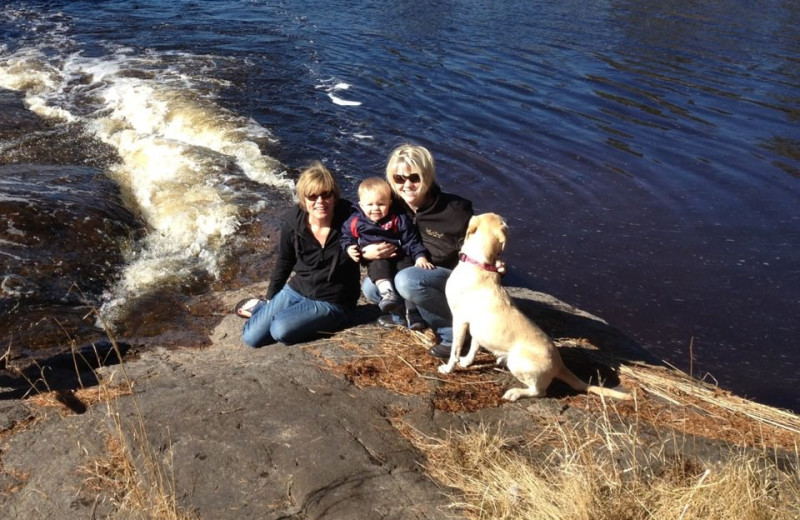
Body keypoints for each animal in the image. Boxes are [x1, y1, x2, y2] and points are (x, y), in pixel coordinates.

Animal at [444, 212, 632, 402]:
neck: (480, 265)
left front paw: (448, 368)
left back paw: (515, 392)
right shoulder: (477, 328)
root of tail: (560, 364)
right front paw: (467, 362)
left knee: (539, 391)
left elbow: (455, 349)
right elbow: (474, 346)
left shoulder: (459, 320)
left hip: (518, 361)